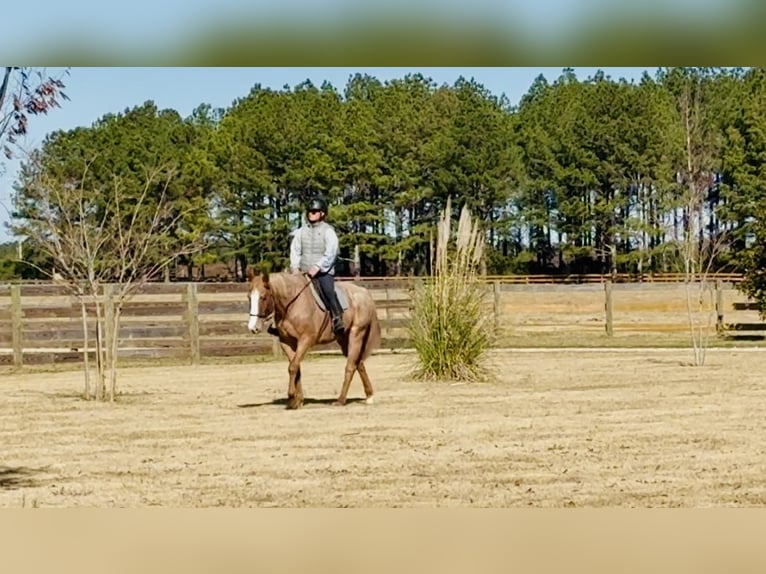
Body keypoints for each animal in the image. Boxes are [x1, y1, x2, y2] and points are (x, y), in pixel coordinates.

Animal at [246, 268, 381, 409]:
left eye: (263, 297)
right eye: (249, 297)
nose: (253, 327)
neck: (292, 305)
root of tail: (364, 293)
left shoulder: (305, 340)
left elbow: (293, 367)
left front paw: (291, 396)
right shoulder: (286, 342)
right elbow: (296, 367)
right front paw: (297, 401)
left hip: (356, 334)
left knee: (350, 366)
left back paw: (340, 400)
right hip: (344, 339)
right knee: (358, 363)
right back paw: (369, 396)